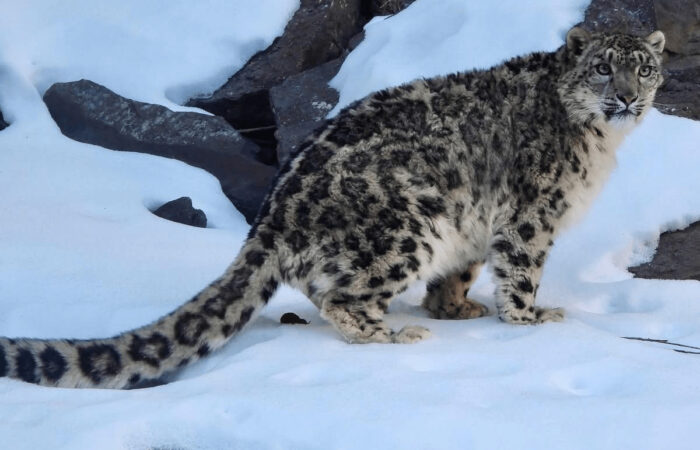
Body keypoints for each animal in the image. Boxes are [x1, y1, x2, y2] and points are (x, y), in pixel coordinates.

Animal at [0, 27, 665, 388]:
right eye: (602, 68)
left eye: (644, 68)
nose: (628, 99)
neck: (599, 144)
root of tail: (271, 216)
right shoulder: (531, 212)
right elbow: (521, 270)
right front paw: (530, 321)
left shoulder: (478, 223)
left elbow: (465, 268)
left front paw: (458, 307)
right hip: (405, 226)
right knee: (340, 298)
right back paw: (392, 335)